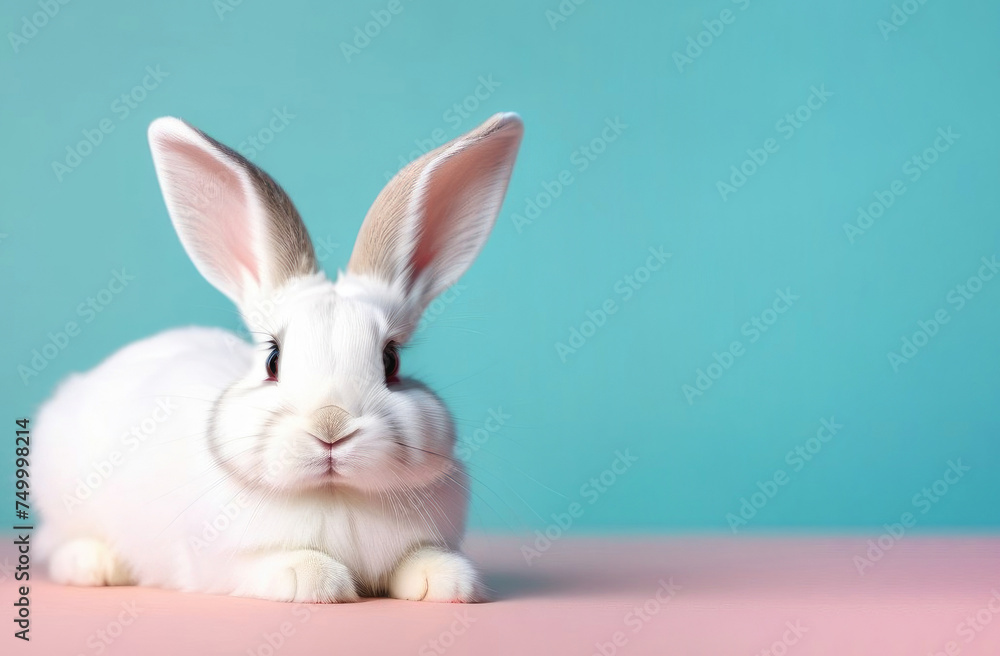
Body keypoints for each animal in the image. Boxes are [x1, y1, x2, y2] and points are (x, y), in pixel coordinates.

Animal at [32, 112, 524, 603]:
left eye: (391, 361)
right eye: (273, 359)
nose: (331, 426)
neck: (333, 495)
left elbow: (421, 557)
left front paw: (448, 582)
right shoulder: (218, 563)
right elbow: (276, 565)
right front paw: (317, 579)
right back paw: (95, 565)